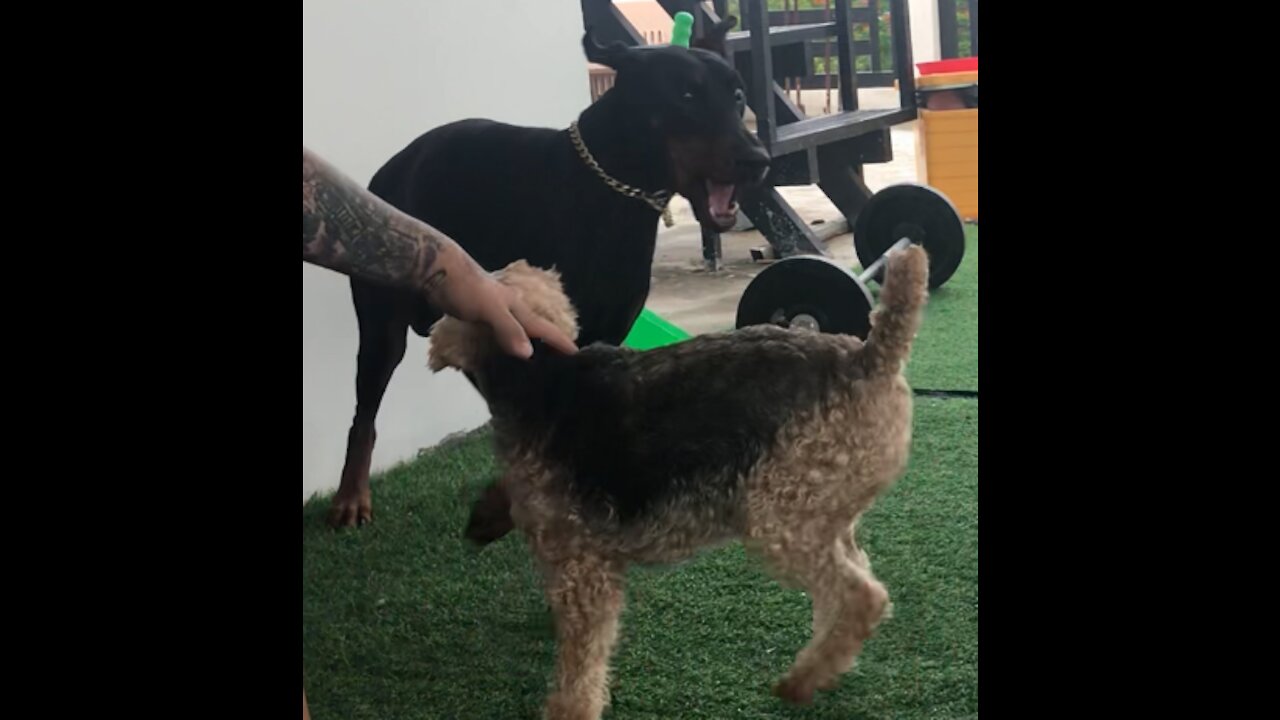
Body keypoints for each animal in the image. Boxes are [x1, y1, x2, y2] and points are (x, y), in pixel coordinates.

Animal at [330, 19, 768, 525]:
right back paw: (352, 497)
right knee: (364, 414)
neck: (613, 192)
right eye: (687, 95)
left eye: (737, 96)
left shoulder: (602, 334)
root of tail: (387, 172)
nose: (758, 161)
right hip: (383, 323)